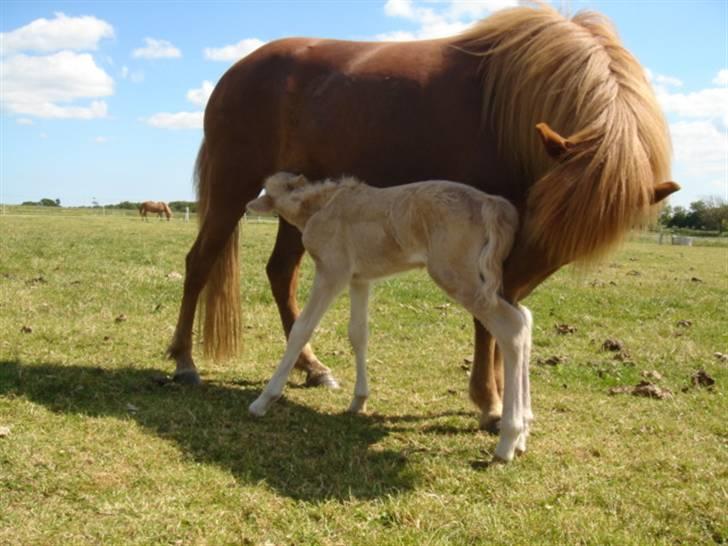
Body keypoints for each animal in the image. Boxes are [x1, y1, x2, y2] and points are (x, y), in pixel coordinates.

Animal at [168, 3, 680, 430]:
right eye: (542, 215)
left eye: (568, 243)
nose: (508, 285)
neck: (506, 103)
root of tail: (235, 71)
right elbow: (487, 324)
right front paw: (491, 403)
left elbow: (500, 322)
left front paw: (499, 398)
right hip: (232, 187)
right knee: (200, 262)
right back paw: (185, 362)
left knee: (280, 273)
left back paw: (312, 368)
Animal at [245, 172, 528, 462]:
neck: (320, 206)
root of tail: (491, 204)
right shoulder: (359, 279)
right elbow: (358, 333)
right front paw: (358, 400)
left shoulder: (332, 272)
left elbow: (302, 329)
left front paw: (263, 401)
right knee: (524, 317)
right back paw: (521, 435)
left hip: (457, 276)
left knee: (512, 326)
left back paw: (507, 442)